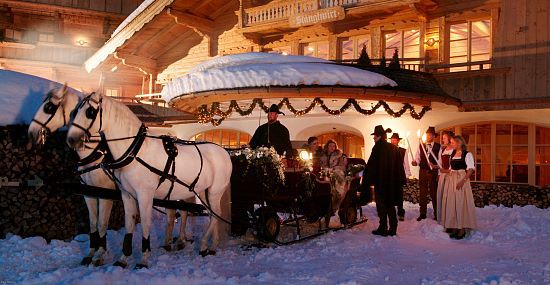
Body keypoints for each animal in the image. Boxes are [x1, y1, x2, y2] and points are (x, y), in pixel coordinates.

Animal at [29, 86, 191, 266]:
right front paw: (91, 253)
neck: (98, 153)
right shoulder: (89, 193)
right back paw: (168, 243)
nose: (31, 133)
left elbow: (102, 223)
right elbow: (93, 223)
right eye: (75, 111)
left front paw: (100, 254)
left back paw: (181, 240)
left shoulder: (105, 194)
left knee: (184, 213)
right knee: (172, 214)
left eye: (49, 107)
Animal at [67, 92, 233, 268]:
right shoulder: (124, 195)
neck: (135, 152)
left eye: (90, 112)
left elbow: (143, 224)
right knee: (204, 214)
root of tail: (224, 152)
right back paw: (209, 247)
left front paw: (143, 260)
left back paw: (202, 245)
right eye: (74, 111)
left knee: (215, 215)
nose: (71, 140)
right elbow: (127, 224)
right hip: (201, 192)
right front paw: (123, 258)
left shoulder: (143, 195)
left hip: (215, 192)